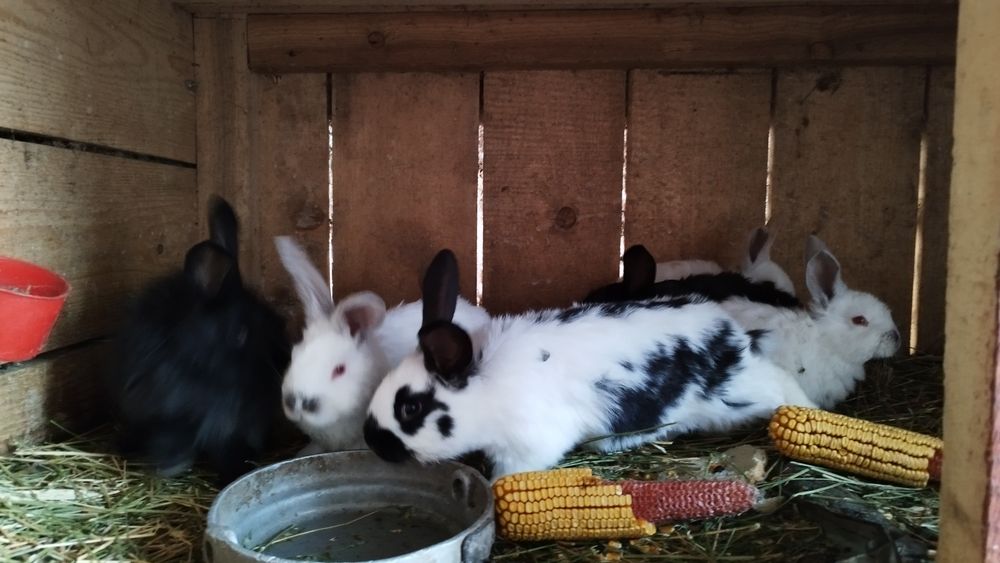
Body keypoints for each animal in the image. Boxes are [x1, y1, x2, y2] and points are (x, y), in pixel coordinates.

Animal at [363, 249, 815, 480]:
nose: (372, 441)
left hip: (739, 393)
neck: (486, 386)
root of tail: (728, 329)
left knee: (780, 387)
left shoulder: (530, 446)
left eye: (410, 408)